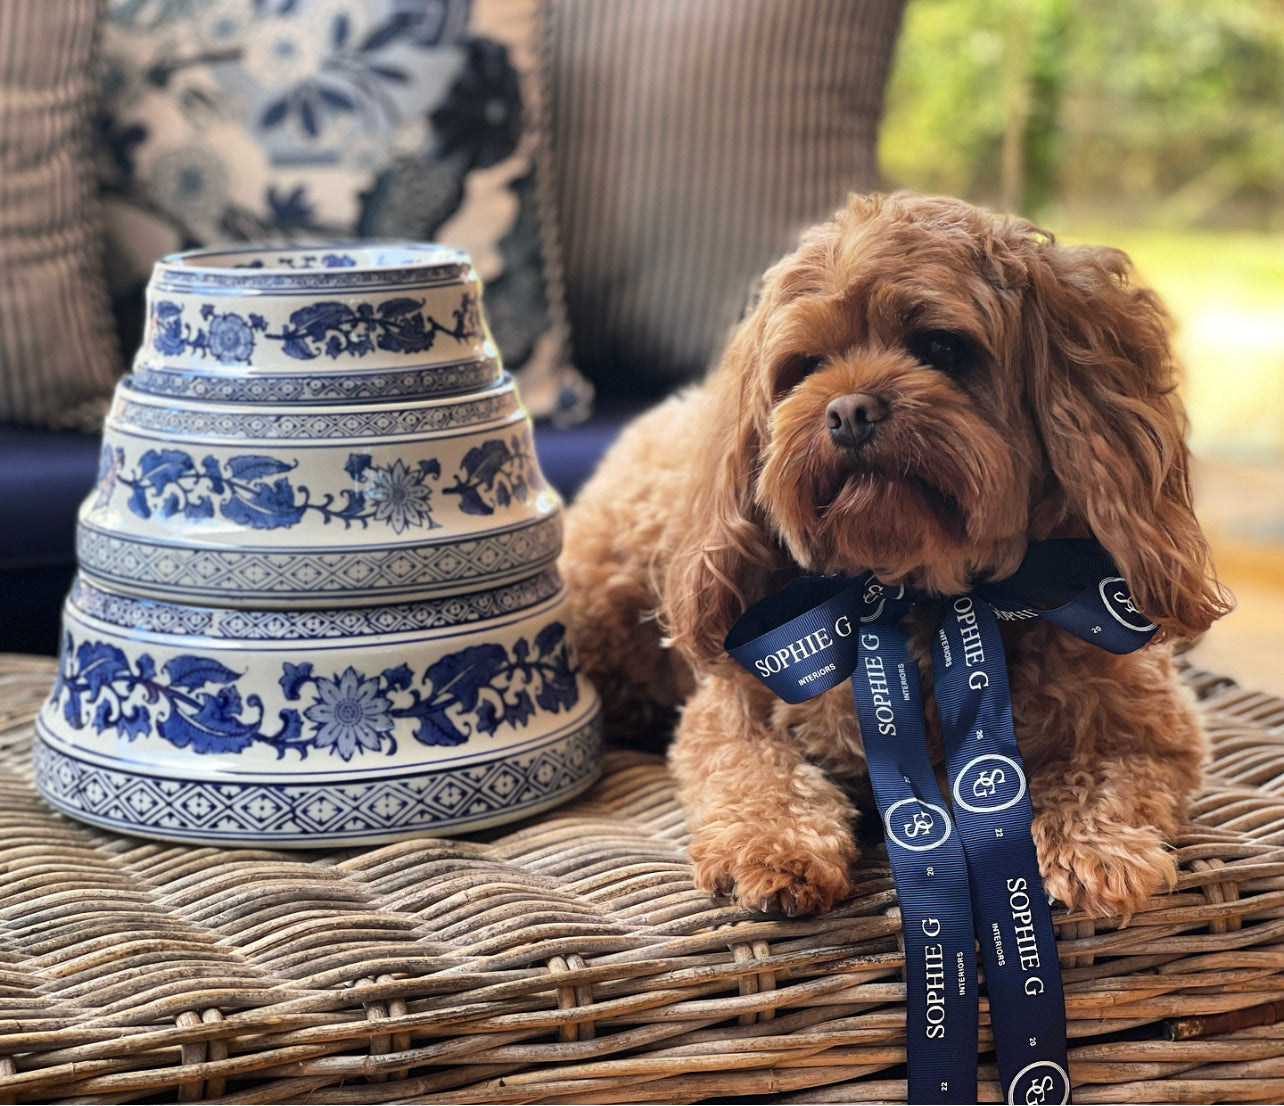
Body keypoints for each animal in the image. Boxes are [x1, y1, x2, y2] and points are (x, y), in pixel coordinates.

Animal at [564, 191, 1232, 924]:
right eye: (804, 366)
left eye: (940, 346)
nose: (849, 410)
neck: (919, 592)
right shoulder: (734, 705)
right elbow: (752, 773)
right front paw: (771, 846)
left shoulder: (1151, 729)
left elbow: (1105, 775)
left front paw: (1094, 846)